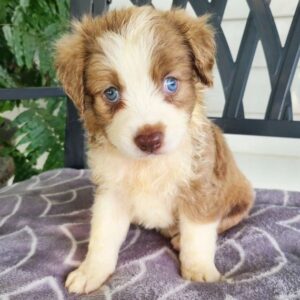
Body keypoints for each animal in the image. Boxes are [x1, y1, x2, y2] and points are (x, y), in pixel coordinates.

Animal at [55, 5, 253, 294]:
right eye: (111, 93)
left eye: (171, 83)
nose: (149, 139)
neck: (148, 165)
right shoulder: (111, 193)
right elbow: (102, 235)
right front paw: (91, 271)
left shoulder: (201, 186)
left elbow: (198, 233)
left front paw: (199, 270)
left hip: (243, 198)